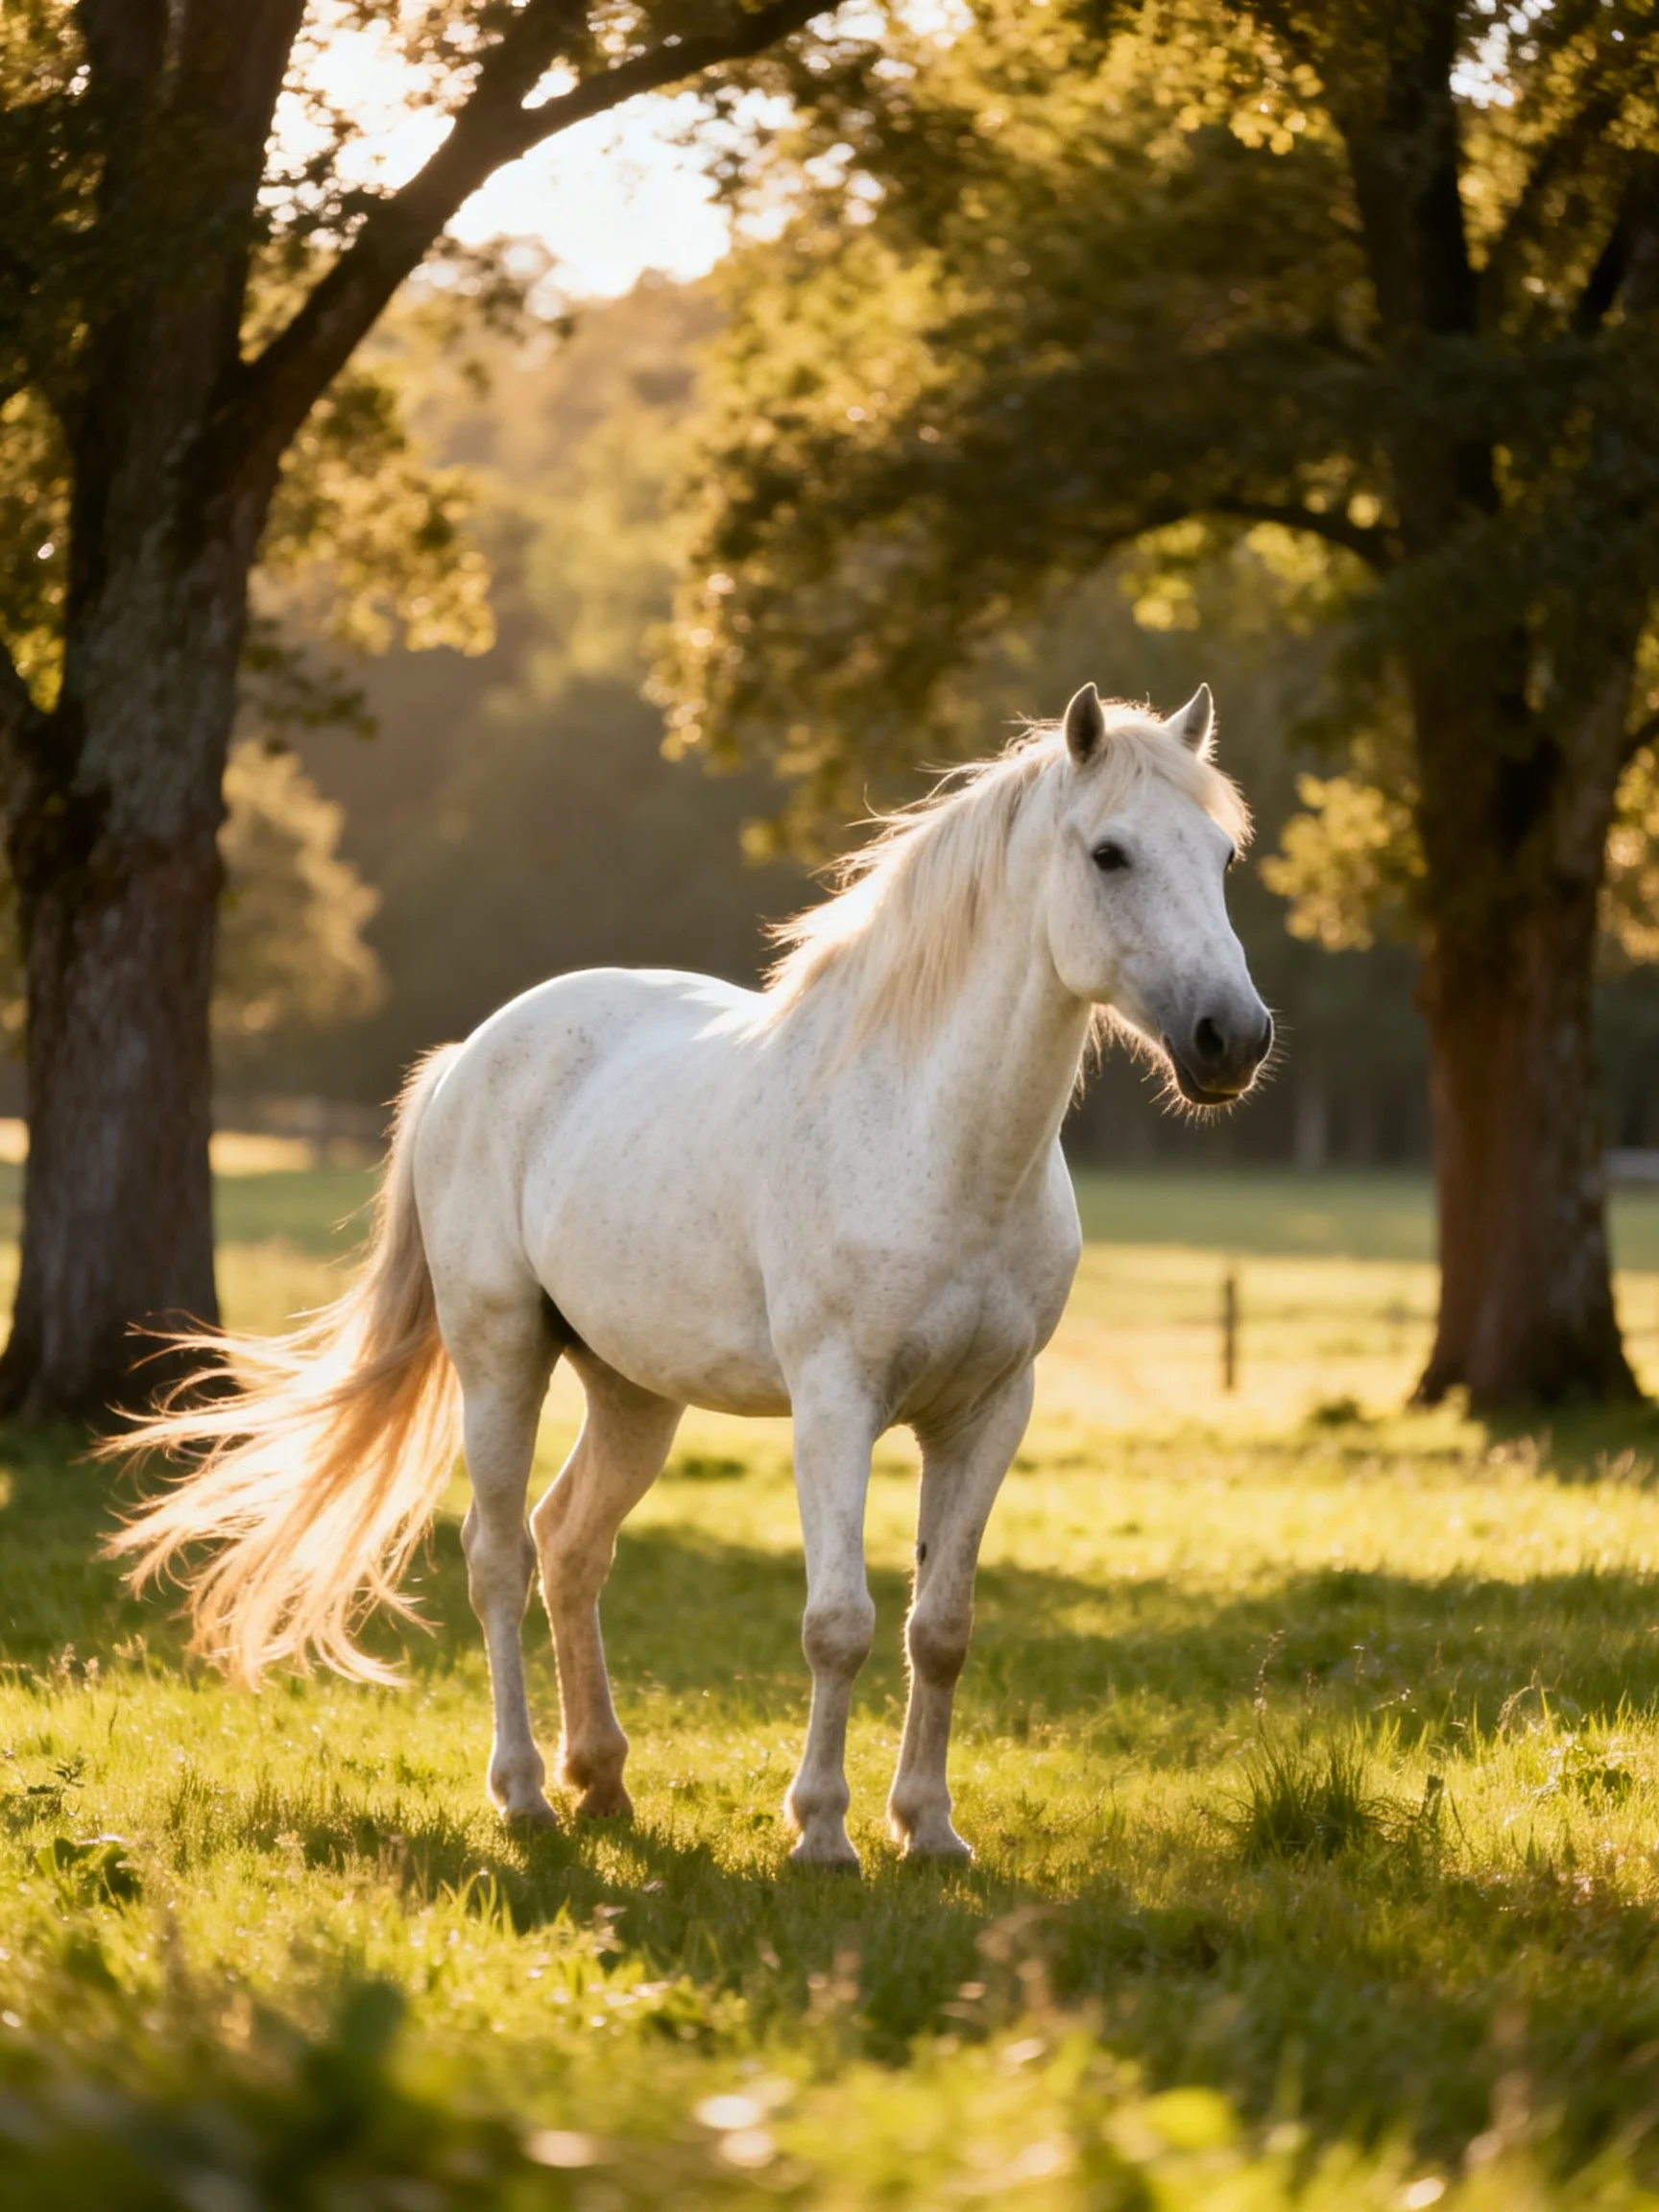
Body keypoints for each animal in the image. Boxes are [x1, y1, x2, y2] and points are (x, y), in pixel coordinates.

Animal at [106, 681, 1272, 1871]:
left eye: (1223, 854)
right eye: (1110, 853)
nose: (1232, 1038)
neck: (938, 1138)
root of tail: (469, 1057)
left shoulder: (990, 1412)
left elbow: (940, 1629)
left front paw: (931, 1830)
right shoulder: (836, 1403)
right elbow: (839, 1624)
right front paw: (823, 1834)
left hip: (633, 1392)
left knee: (570, 1543)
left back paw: (603, 1781)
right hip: (501, 1359)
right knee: (497, 1557)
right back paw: (525, 1793)